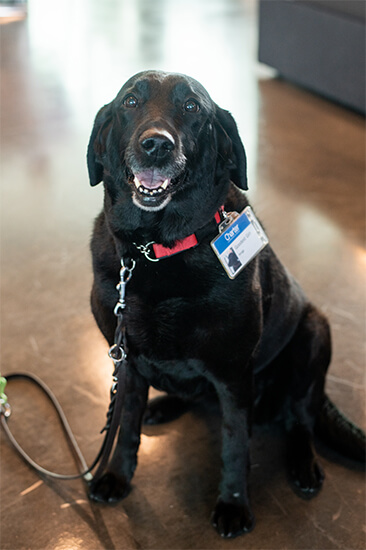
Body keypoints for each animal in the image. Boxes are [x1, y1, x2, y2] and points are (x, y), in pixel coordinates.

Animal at [87, 71, 364, 540]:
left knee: (300, 418)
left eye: (192, 107)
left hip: (313, 334)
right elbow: (124, 428)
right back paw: (164, 406)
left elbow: (235, 445)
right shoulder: (127, 364)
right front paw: (117, 477)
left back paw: (303, 465)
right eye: (130, 101)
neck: (154, 252)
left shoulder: (234, 375)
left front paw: (234, 504)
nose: (156, 144)